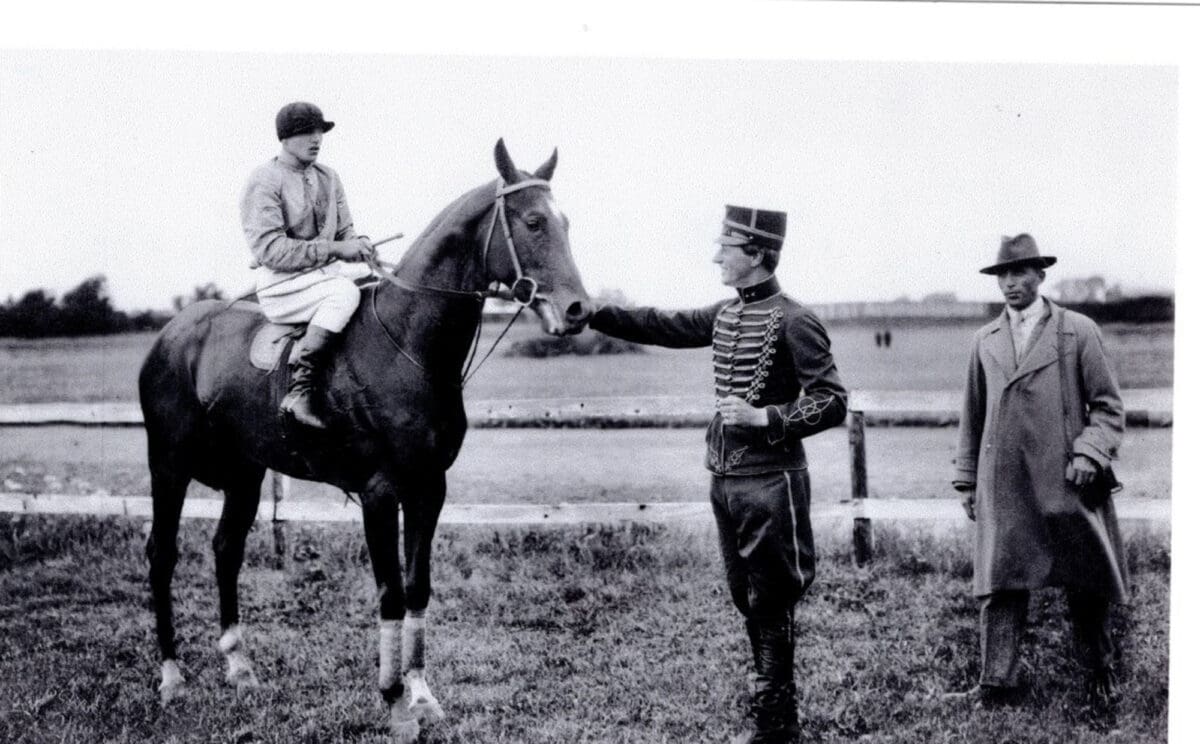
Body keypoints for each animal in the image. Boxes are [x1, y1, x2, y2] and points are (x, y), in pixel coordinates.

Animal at [139, 141, 595, 744]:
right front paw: (395, 703)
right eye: (534, 221)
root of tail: (172, 332)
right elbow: (390, 593)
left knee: (225, 550)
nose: (578, 311)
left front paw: (422, 695)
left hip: (246, 475)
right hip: (168, 467)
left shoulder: (429, 489)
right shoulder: (380, 494)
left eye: (566, 222)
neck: (407, 344)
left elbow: (418, 586)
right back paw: (171, 678)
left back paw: (239, 667)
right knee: (162, 555)